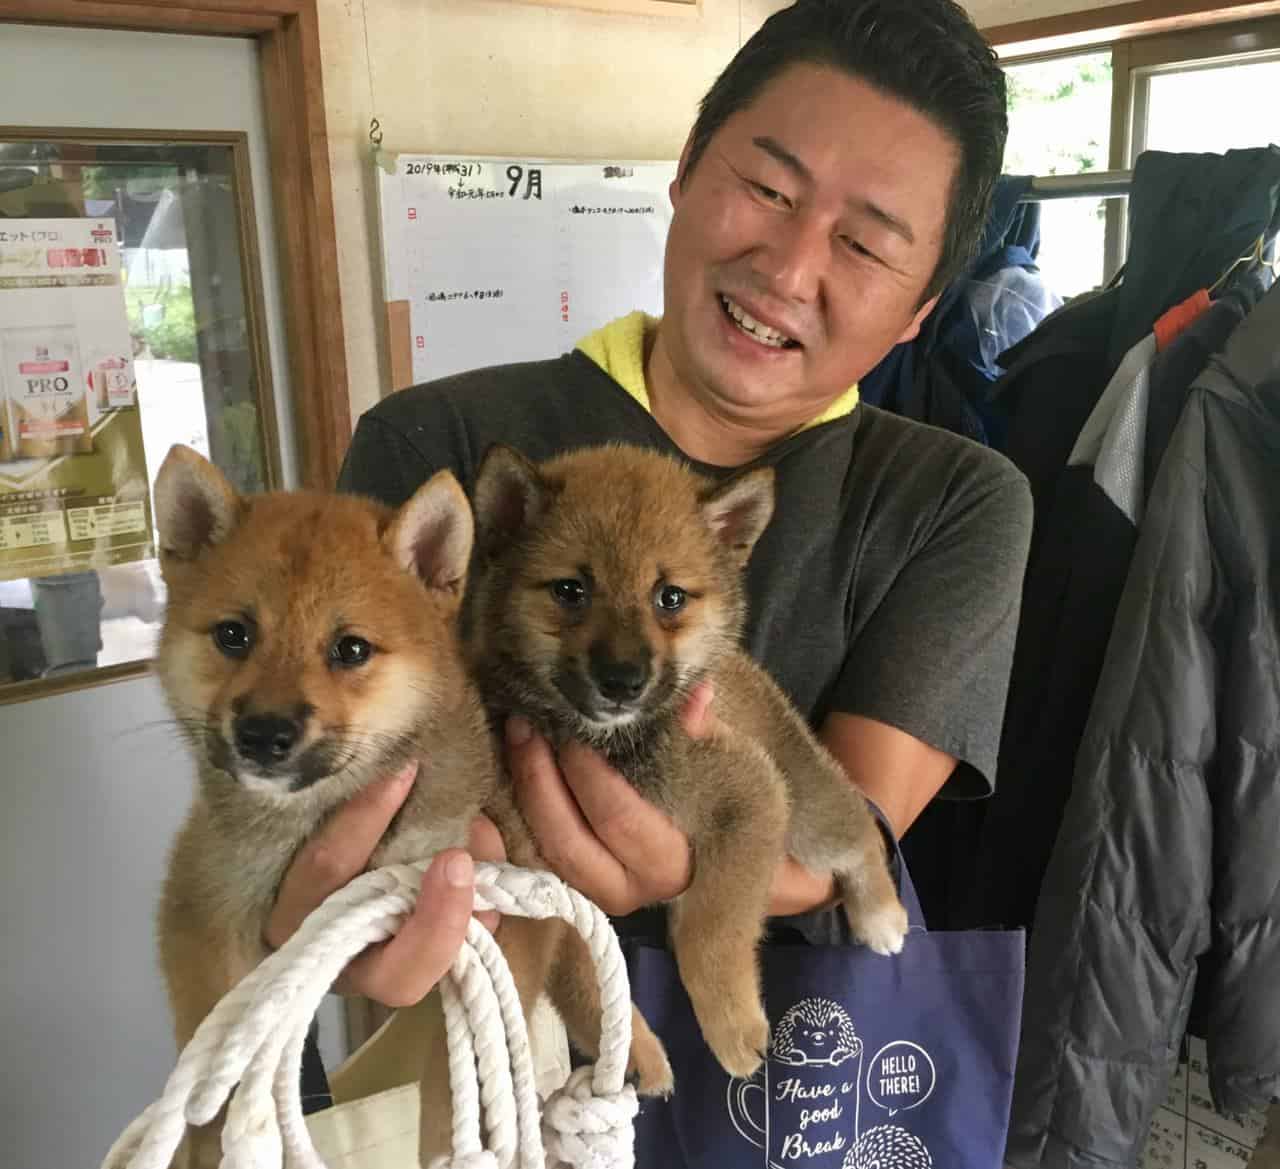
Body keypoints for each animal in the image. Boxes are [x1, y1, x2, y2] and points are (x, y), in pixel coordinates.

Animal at [465, 443, 906, 1080]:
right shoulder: (546, 875)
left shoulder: (748, 795)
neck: (605, 741)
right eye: (571, 590)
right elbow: (584, 975)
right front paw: (628, 1051)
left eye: (669, 597)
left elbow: (711, 930)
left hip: (806, 816)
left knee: (861, 830)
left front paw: (731, 1023)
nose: (622, 680)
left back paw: (882, 916)